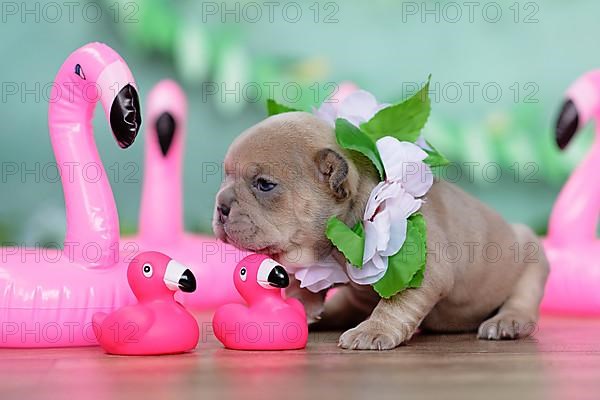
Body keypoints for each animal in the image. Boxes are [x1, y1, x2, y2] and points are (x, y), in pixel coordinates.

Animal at [213, 111, 552, 350]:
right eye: (225, 176)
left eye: (264, 185)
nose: (220, 205)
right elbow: (304, 287)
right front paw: (298, 307)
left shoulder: (421, 271)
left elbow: (395, 305)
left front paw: (373, 331)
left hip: (530, 261)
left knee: (522, 299)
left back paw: (507, 321)